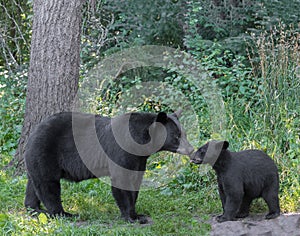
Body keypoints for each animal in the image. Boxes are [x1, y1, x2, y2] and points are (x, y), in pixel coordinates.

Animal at [24, 110, 195, 223]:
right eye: (177, 136)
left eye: (184, 134)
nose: (191, 149)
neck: (140, 142)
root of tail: (33, 132)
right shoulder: (121, 151)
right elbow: (121, 181)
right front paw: (132, 216)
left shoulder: (139, 159)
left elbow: (135, 181)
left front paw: (137, 213)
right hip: (46, 151)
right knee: (48, 185)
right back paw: (63, 213)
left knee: (34, 184)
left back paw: (34, 208)